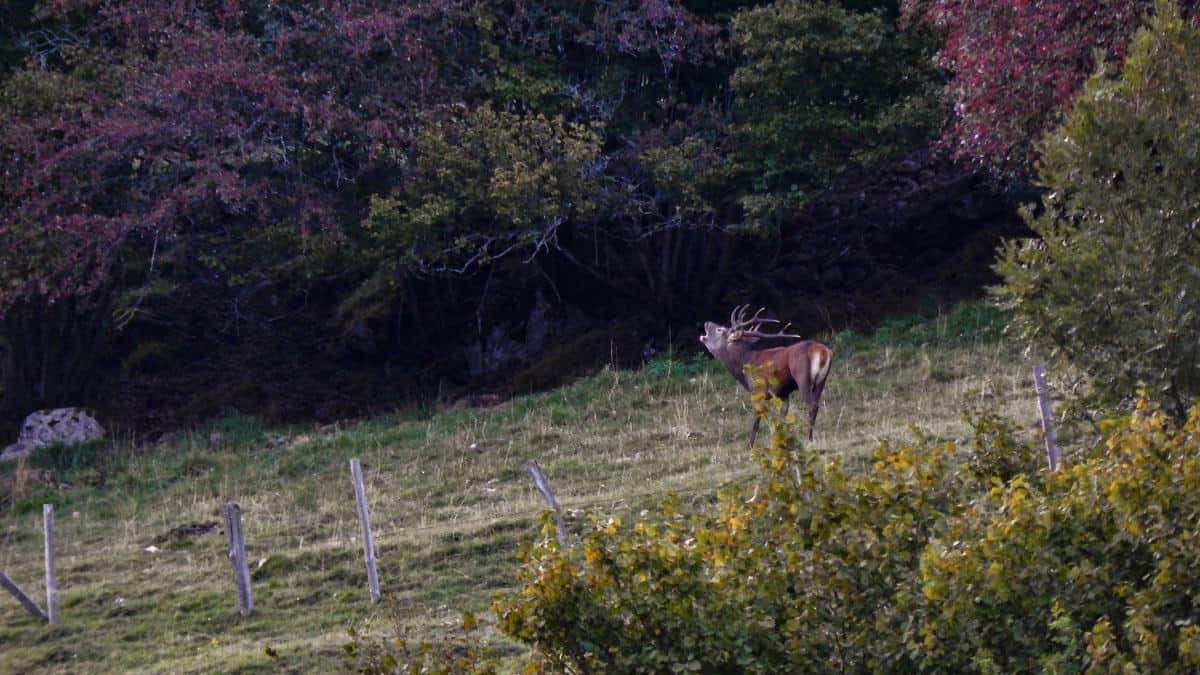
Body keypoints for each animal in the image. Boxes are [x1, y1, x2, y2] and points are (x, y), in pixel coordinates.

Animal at [699, 305, 832, 448]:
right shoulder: (782, 393)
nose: (707, 322)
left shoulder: (759, 390)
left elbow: (757, 419)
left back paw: (809, 439)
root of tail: (823, 351)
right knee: (816, 403)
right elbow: (781, 419)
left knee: (811, 405)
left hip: (802, 377)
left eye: (720, 329)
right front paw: (780, 441)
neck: (744, 364)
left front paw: (750, 445)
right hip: (822, 380)